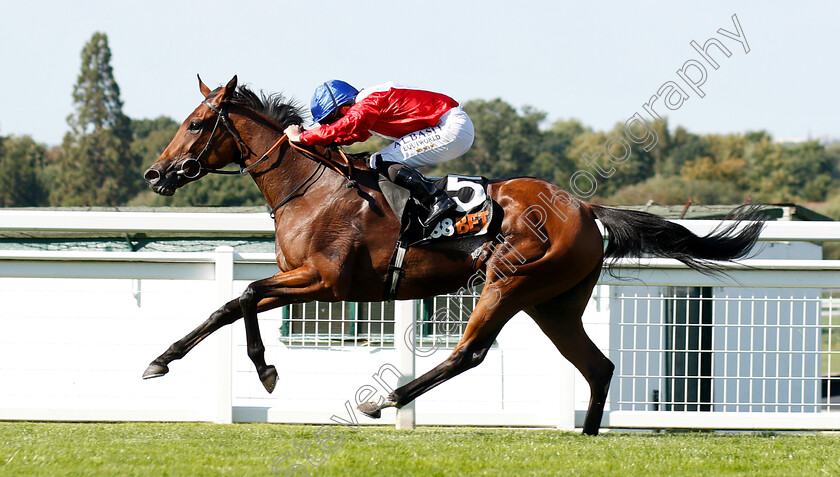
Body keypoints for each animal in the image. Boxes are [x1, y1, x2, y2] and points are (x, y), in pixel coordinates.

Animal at [143, 75, 760, 436]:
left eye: (196, 124)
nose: (155, 173)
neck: (311, 186)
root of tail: (585, 208)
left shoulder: (326, 281)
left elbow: (246, 293)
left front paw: (267, 371)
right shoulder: (299, 276)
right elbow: (231, 304)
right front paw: (161, 360)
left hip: (508, 283)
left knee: (470, 352)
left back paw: (383, 401)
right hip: (554, 304)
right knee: (596, 365)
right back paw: (586, 436)